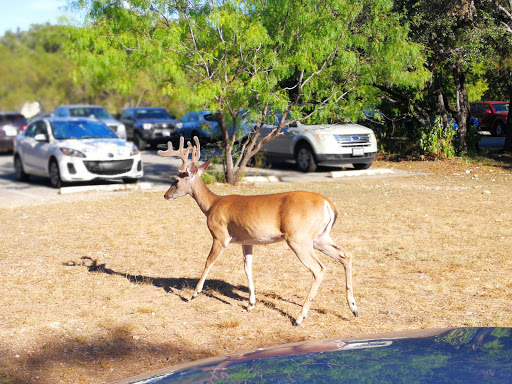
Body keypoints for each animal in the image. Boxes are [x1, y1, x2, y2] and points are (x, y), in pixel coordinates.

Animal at [158, 136, 358, 326]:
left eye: (176, 180)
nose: (166, 195)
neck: (211, 205)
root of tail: (328, 204)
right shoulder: (247, 241)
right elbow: (247, 268)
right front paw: (251, 304)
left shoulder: (220, 235)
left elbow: (208, 261)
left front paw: (194, 293)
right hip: (319, 237)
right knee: (345, 255)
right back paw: (353, 308)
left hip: (299, 238)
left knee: (319, 268)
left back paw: (300, 318)